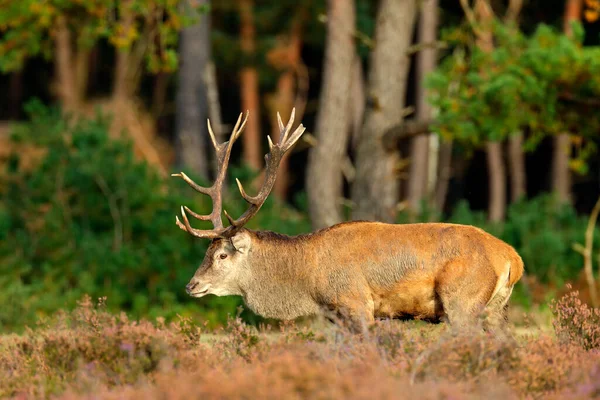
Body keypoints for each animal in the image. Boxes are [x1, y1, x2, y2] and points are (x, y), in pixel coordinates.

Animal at [170, 108, 524, 334]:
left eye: (221, 255)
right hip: (497, 308)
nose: (191, 285)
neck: (309, 285)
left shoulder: (355, 303)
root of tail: (512, 258)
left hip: (462, 299)